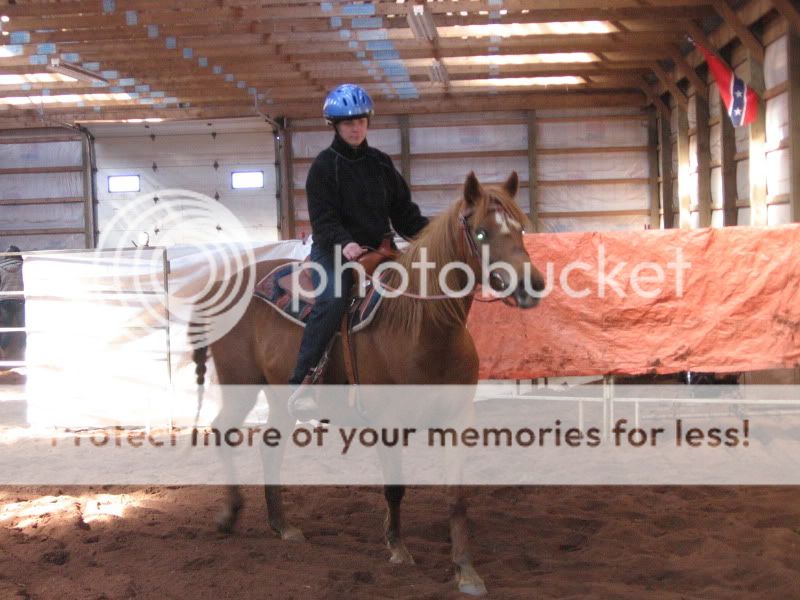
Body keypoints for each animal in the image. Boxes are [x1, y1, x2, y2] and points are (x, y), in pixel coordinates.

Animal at [193, 171, 544, 596]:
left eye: (520, 228)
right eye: (480, 232)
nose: (531, 284)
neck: (422, 325)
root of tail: (226, 283)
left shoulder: (459, 420)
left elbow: (456, 494)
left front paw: (465, 569)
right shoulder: (387, 423)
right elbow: (394, 488)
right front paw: (397, 548)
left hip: (278, 396)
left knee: (269, 447)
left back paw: (283, 526)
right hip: (240, 384)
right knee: (222, 431)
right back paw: (230, 515)